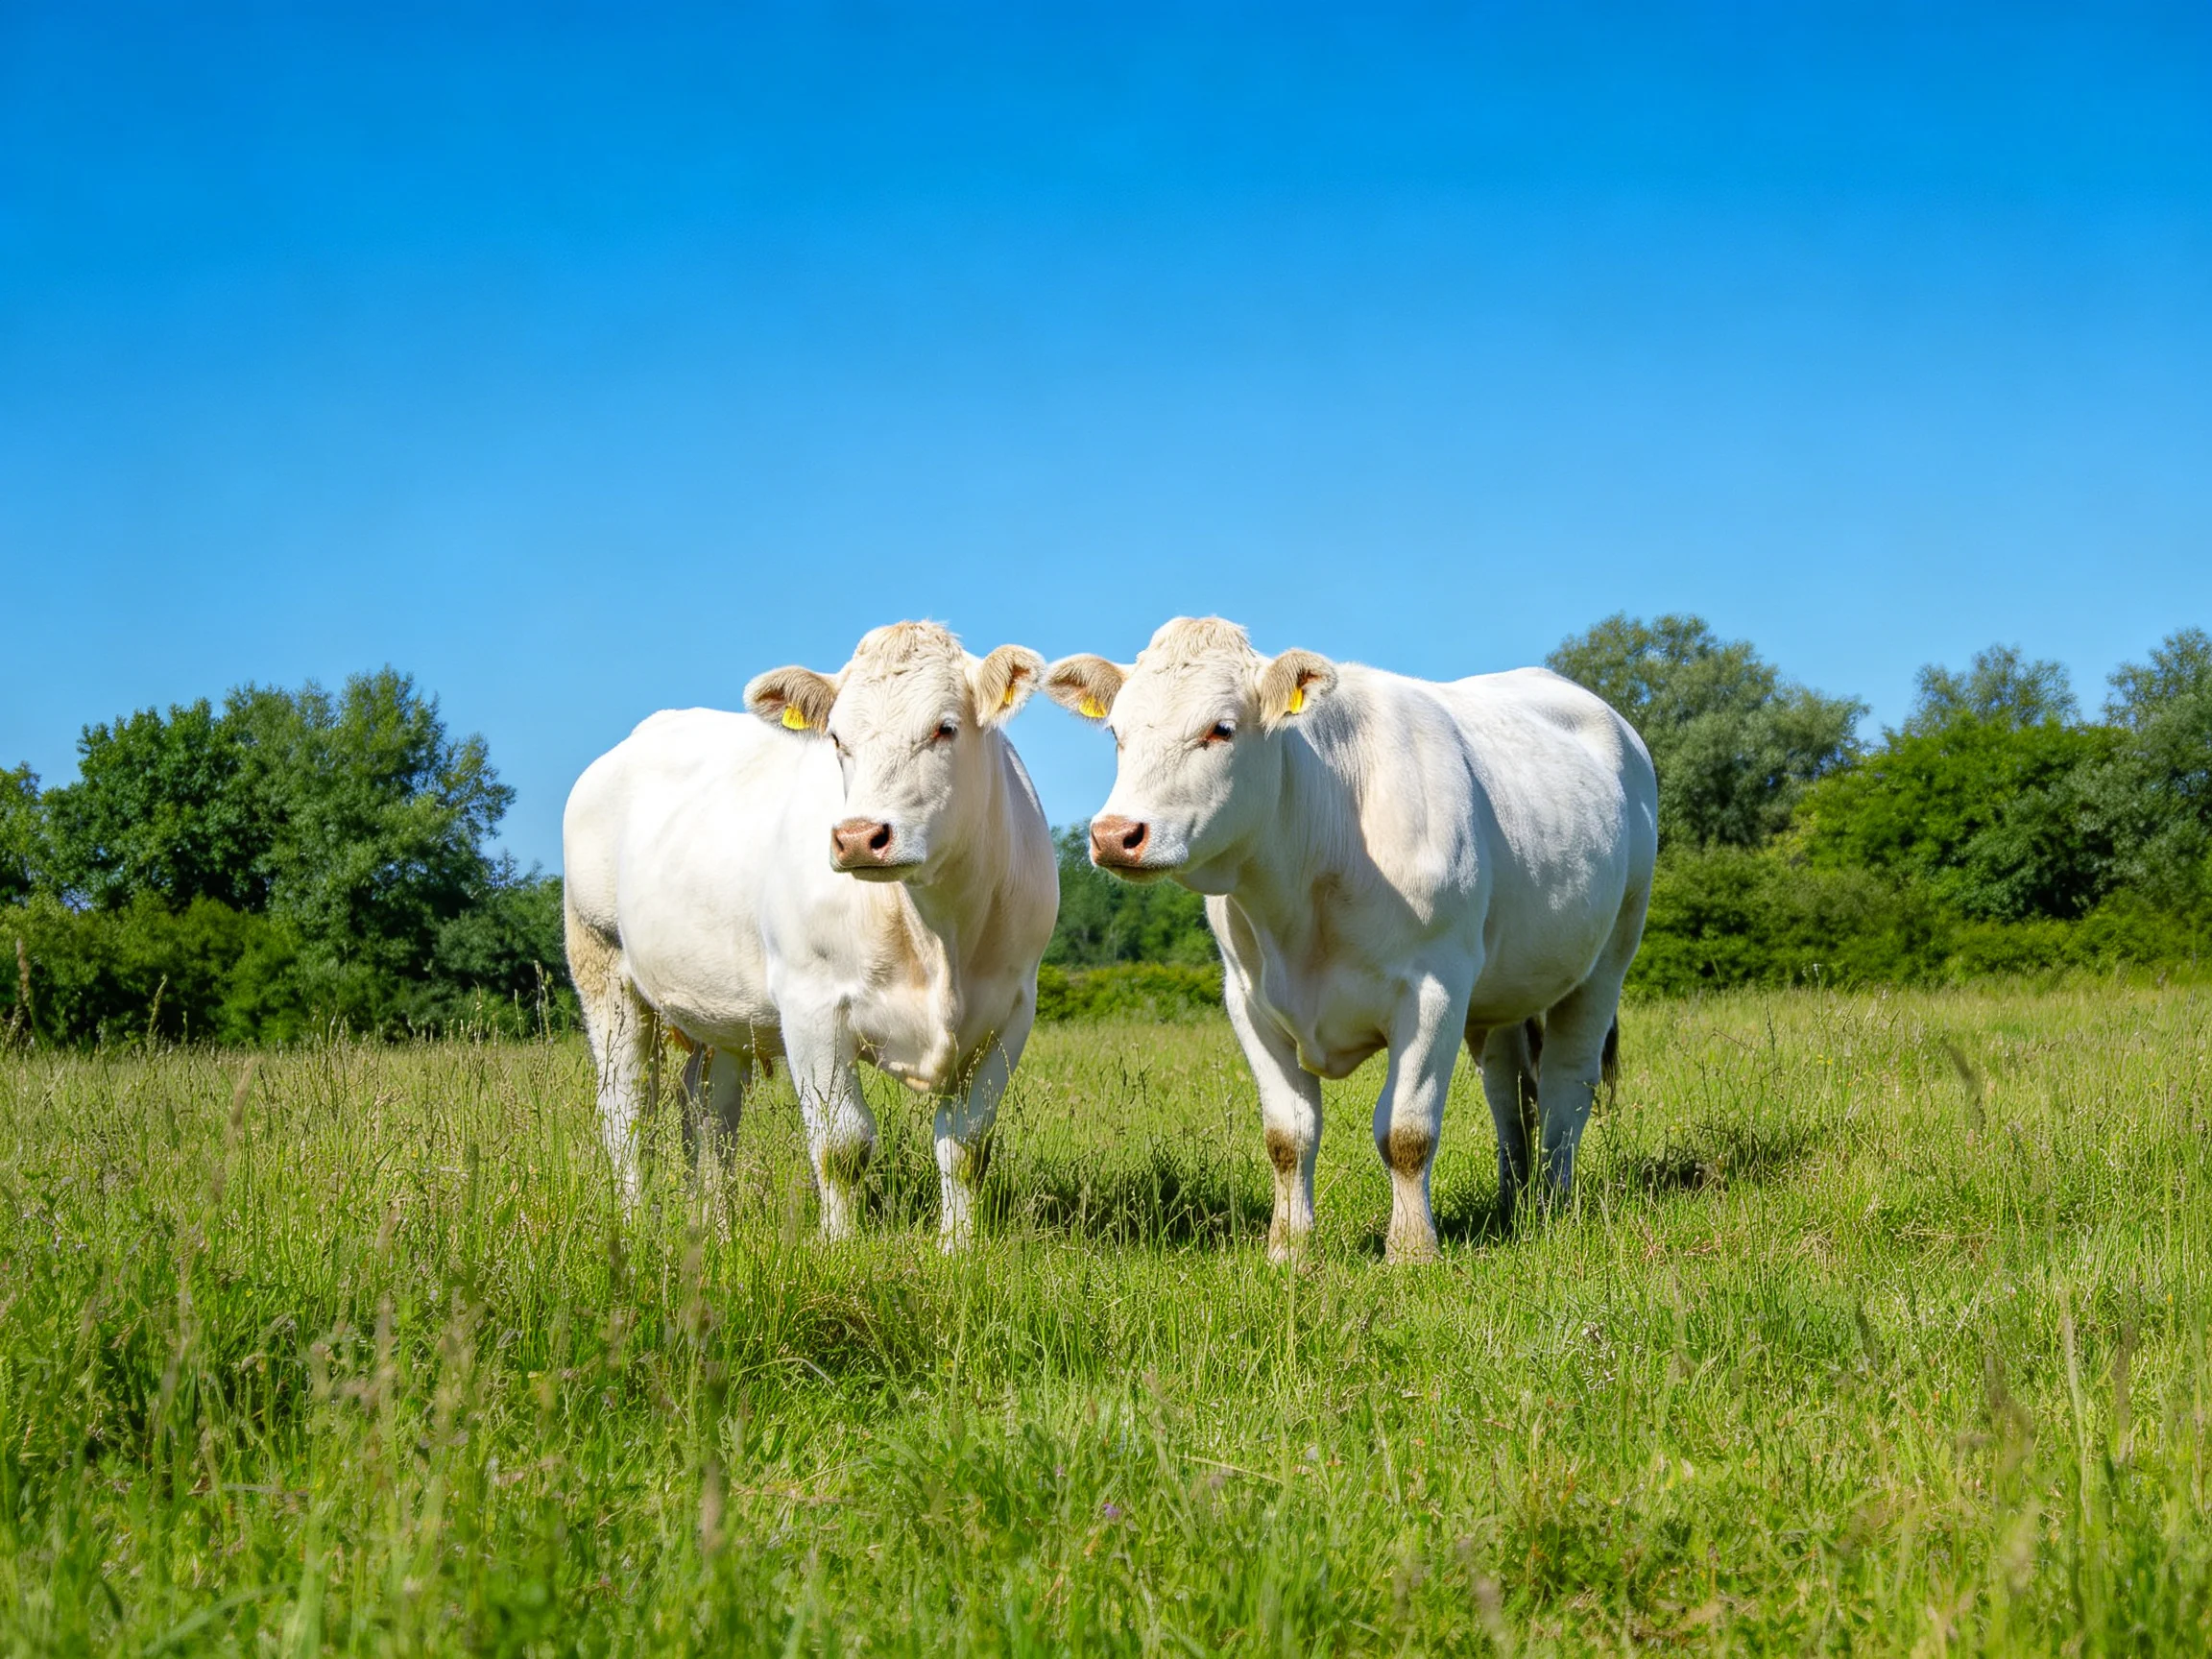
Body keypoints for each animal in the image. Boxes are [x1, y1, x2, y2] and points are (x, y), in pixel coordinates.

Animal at [562, 621, 1058, 1248]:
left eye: (945, 728)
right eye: (837, 739)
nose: (859, 836)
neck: (936, 933)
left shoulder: (1011, 1009)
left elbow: (966, 1144)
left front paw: (958, 1248)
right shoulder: (811, 1004)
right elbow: (841, 1145)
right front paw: (841, 1247)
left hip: (720, 1006)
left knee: (707, 1107)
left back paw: (716, 1225)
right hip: (602, 963)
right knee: (626, 1107)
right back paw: (636, 1225)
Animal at [1046, 617, 1657, 1262]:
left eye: (1221, 728)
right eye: (1116, 732)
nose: (1116, 834)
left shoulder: (1433, 988)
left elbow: (1407, 1132)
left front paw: (1411, 1251)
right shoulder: (1248, 1000)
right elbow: (1287, 1134)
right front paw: (1289, 1249)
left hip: (1609, 958)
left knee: (1568, 1083)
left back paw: (1552, 1205)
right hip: (1503, 992)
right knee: (1509, 1088)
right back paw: (1512, 1200)